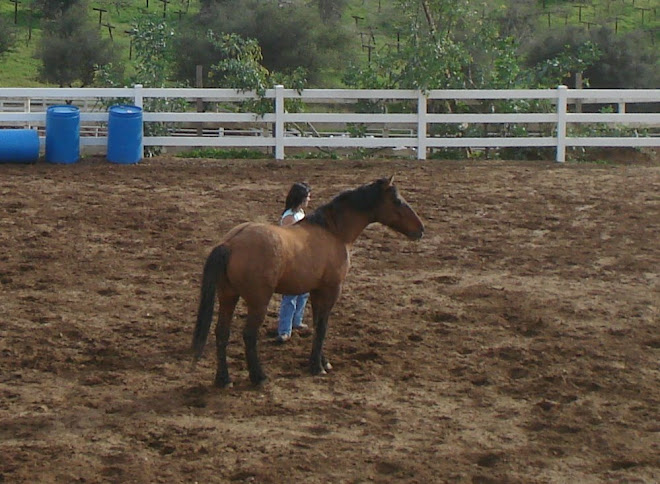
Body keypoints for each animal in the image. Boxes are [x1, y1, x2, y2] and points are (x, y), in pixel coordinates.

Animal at [191, 177, 422, 386]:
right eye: (397, 201)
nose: (420, 229)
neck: (333, 232)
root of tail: (230, 243)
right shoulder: (331, 291)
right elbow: (322, 327)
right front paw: (317, 367)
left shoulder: (316, 292)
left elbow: (318, 324)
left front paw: (323, 361)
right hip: (258, 302)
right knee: (248, 335)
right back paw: (259, 377)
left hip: (228, 296)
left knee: (222, 332)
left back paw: (223, 379)